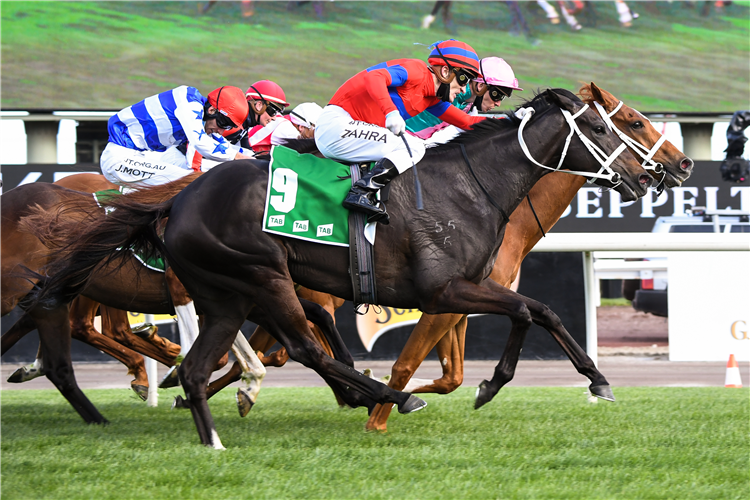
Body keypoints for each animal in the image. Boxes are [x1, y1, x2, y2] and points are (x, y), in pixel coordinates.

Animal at [25, 88, 656, 448]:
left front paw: (589, 380)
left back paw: (213, 441)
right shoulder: (445, 289)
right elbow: (530, 311)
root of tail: (176, 201)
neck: (470, 184)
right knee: (304, 347)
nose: (648, 174)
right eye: (605, 127)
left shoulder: (466, 289)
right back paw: (387, 397)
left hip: (227, 294)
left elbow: (539, 310)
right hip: (262, 276)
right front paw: (497, 383)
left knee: (204, 365)